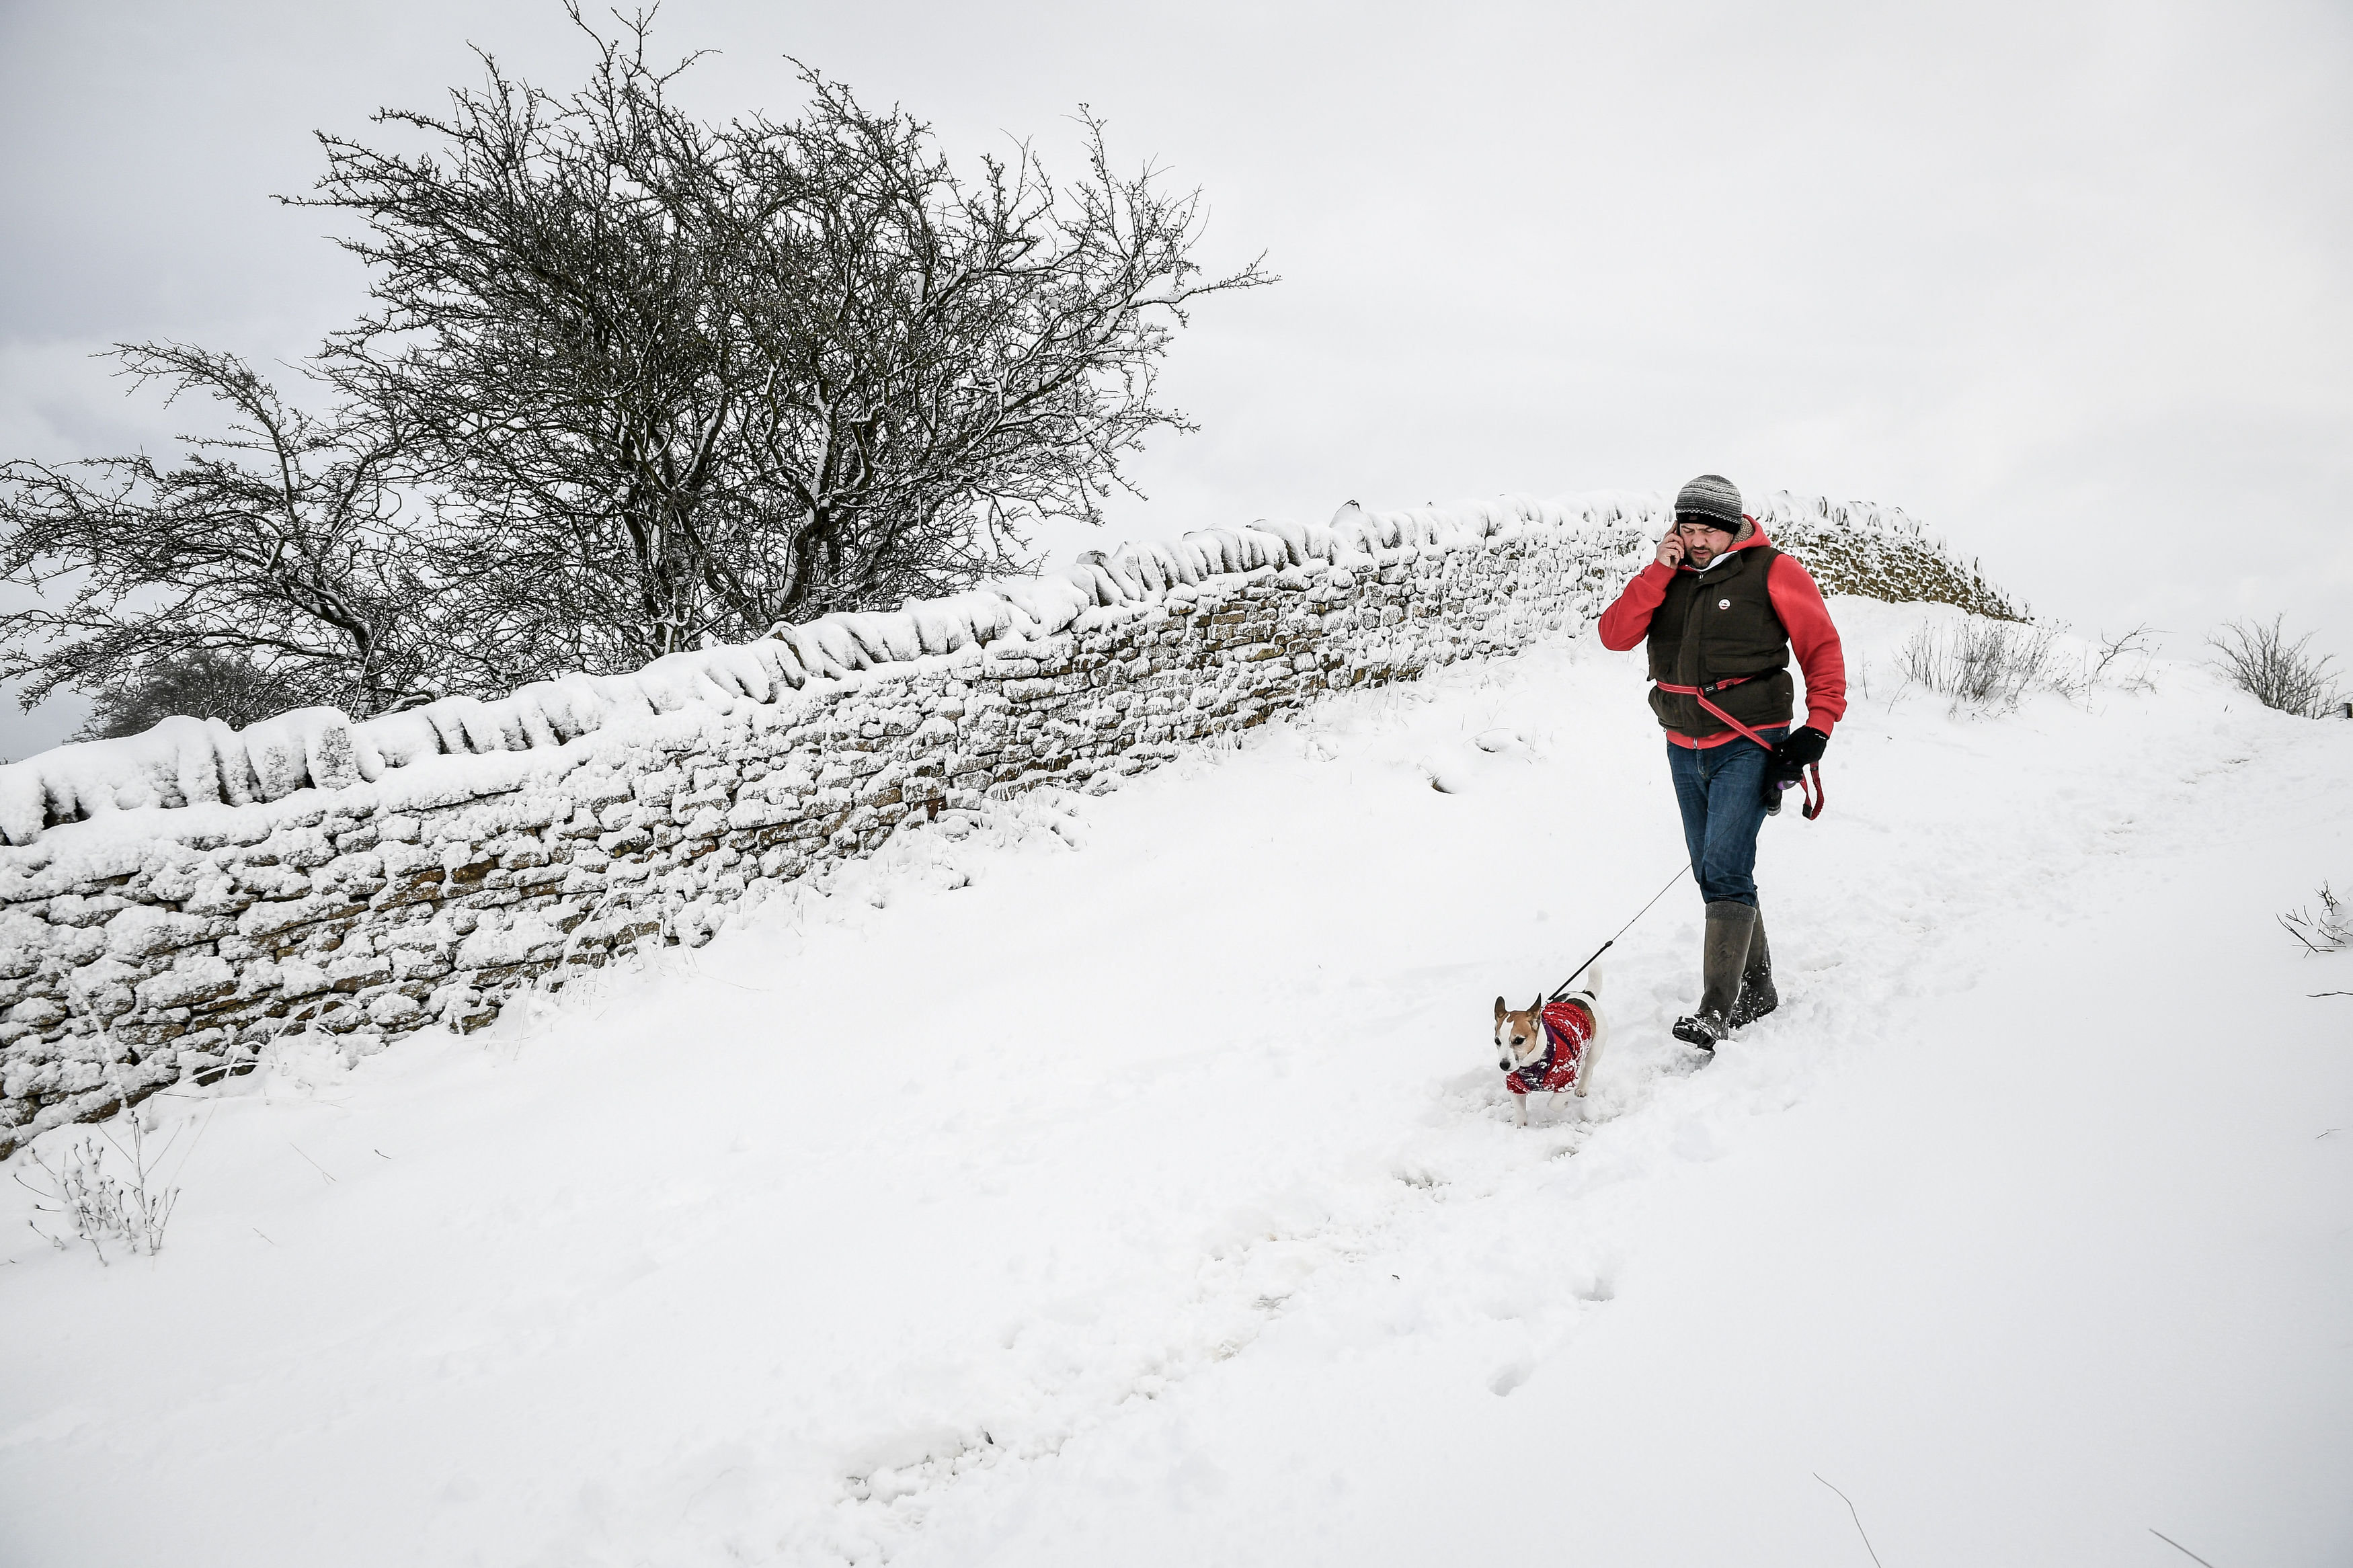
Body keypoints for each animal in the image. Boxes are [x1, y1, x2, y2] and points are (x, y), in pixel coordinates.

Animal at [1497, 968, 1609, 1128]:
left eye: (1519, 1040)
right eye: (1497, 1041)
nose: (1504, 1065)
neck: (1534, 1063)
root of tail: (1586, 994)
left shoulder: (1568, 1080)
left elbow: (1554, 1104)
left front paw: (1565, 1105)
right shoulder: (1515, 1086)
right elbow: (1519, 1109)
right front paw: (1520, 1125)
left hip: (1596, 1048)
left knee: (1589, 1068)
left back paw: (1582, 1088)